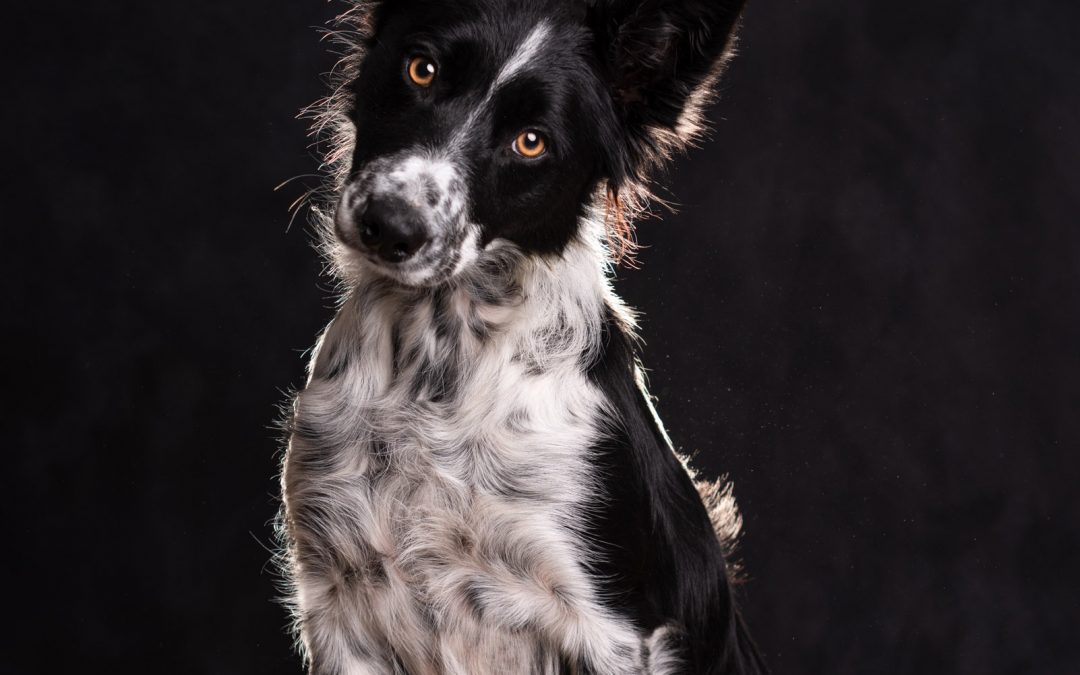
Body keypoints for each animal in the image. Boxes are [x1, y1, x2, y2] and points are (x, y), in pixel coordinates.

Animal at [280, 0, 768, 669]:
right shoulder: (339, 604)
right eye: (422, 69)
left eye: (532, 142)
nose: (391, 225)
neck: (434, 373)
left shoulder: (613, 635)